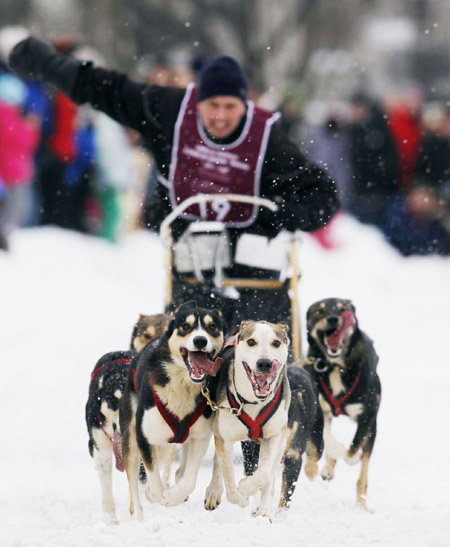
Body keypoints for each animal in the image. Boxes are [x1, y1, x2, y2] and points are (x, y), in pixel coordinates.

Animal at [119, 302, 225, 520]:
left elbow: (189, 478)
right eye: (185, 326)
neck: (183, 384)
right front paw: (157, 495)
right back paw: (139, 518)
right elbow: (153, 479)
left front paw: (174, 496)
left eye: (212, 327)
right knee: (134, 488)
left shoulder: (200, 436)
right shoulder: (144, 437)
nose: (200, 340)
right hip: (130, 436)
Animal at [204, 318, 292, 520]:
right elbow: (229, 480)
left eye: (276, 343)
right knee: (218, 462)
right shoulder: (224, 437)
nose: (265, 363)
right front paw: (241, 496)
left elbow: (264, 473)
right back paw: (214, 491)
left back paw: (264, 509)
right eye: (251, 342)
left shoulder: (274, 435)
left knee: (269, 473)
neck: (252, 402)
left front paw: (247, 487)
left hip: (281, 441)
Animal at [304, 300, 382, 510]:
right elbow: (329, 439)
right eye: (320, 310)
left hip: (372, 427)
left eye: (342, 308)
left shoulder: (368, 415)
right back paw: (328, 468)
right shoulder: (321, 409)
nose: (332, 319)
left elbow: (354, 449)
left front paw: (348, 455)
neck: (335, 366)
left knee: (363, 471)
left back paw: (361, 504)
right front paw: (335, 451)